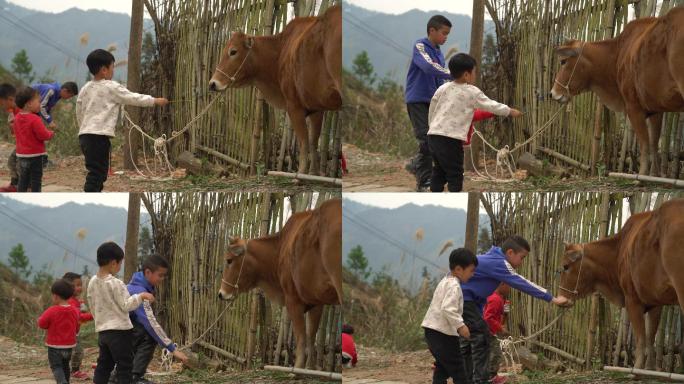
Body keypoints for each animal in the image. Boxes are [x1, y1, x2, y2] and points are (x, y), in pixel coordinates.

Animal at [206, 4, 340, 176]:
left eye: (233, 51)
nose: (212, 83)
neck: (280, 51)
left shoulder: (294, 107)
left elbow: (304, 143)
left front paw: (300, 174)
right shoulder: (316, 109)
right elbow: (313, 143)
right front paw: (313, 174)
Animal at [218, 198, 340, 368]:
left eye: (229, 260)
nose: (221, 294)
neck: (280, 248)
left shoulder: (293, 301)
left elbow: (301, 344)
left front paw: (297, 370)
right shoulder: (316, 304)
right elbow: (310, 342)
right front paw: (310, 369)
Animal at [552, 6, 684, 176]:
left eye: (563, 61)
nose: (552, 93)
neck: (616, 54)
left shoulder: (633, 108)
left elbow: (645, 147)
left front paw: (641, 176)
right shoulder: (656, 111)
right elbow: (654, 147)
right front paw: (653, 176)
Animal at [560, 198, 684, 368]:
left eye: (565, 266)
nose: (560, 298)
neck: (618, 250)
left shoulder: (632, 301)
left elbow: (641, 345)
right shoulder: (655, 304)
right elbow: (650, 343)